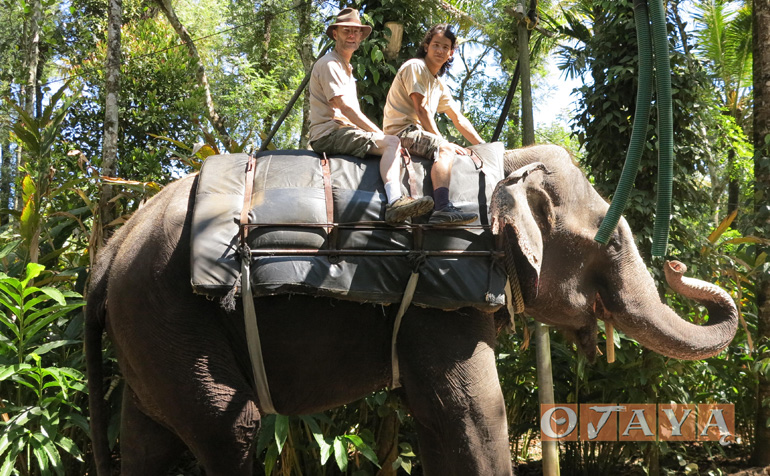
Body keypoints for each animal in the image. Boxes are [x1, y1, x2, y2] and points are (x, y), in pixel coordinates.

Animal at [85, 143, 736, 474]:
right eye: (615, 244)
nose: (679, 267)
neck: (498, 166)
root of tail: (111, 247)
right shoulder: (445, 289)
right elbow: (474, 414)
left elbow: (438, 418)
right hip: (169, 311)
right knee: (233, 426)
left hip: (150, 331)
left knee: (147, 439)